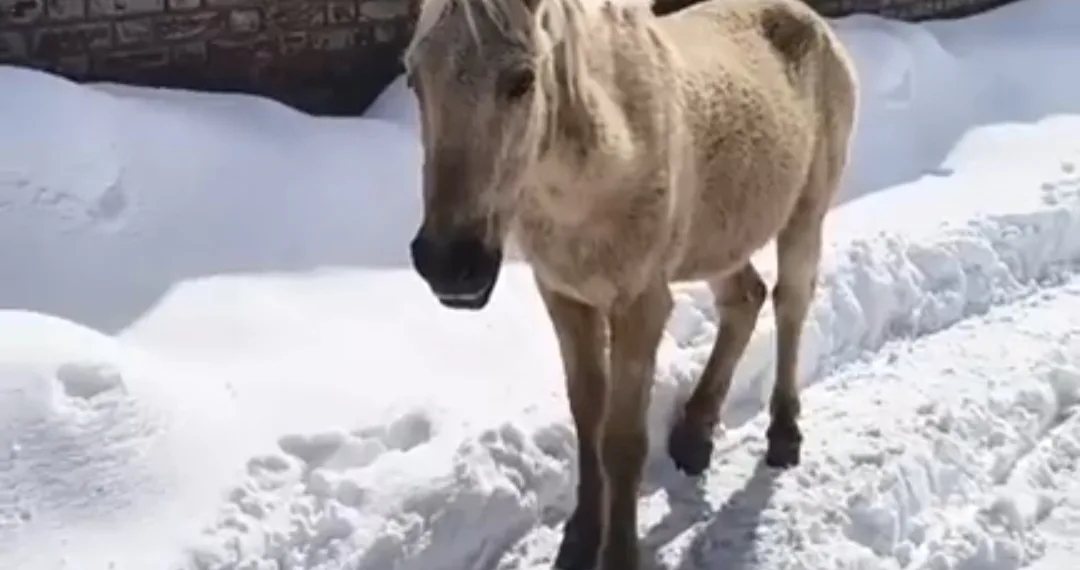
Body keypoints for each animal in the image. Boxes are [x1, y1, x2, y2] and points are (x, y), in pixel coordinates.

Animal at [403, 0, 859, 566]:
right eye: (413, 78)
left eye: (522, 79)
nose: (449, 263)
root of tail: (816, 23)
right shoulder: (565, 297)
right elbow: (586, 418)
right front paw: (580, 536)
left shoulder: (641, 303)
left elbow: (623, 440)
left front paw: (618, 550)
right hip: (719, 237)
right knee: (744, 299)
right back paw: (694, 434)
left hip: (805, 212)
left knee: (790, 304)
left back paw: (783, 434)